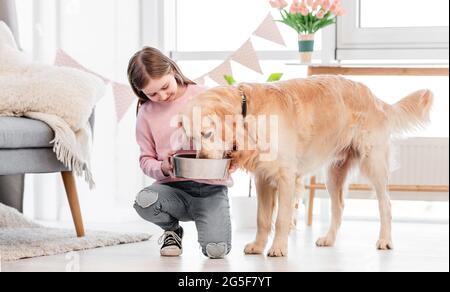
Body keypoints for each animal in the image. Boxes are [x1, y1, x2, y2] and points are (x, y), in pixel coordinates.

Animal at [178, 76, 432, 258]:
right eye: (192, 138)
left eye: (207, 133)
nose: (202, 159)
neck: (249, 114)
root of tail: (375, 98)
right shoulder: (262, 178)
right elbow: (262, 218)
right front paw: (258, 246)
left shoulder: (286, 177)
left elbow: (281, 219)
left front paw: (278, 248)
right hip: (334, 172)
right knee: (339, 206)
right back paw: (328, 238)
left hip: (374, 162)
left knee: (385, 204)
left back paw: (385, 240)